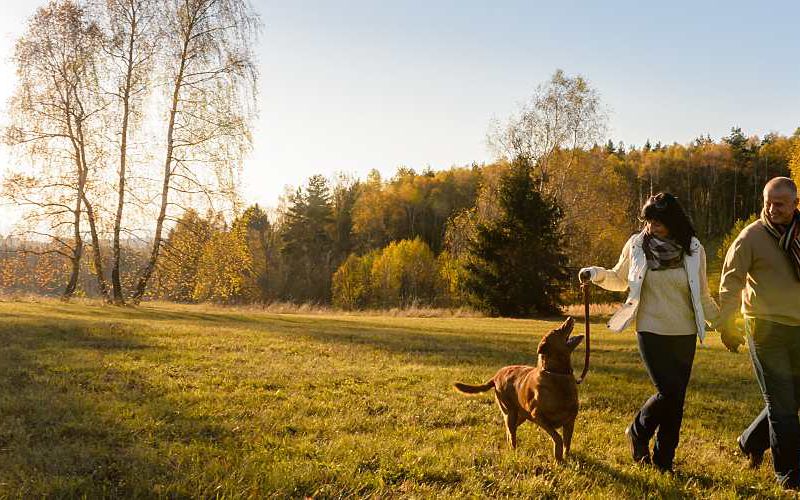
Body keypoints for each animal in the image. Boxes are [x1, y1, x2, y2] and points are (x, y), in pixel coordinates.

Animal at [456, 316, 580, 460]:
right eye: (557, 330)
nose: (569, 317)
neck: (556, 373)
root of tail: (496, 376)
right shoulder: (538, 416)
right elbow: (558, 438)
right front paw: (558, 457)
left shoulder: (570, 421)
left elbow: (567, 442)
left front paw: (566, 458)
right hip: (510, 412)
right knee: (511, 432)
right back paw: (513, 451)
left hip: (520, 415)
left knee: (510, 431)